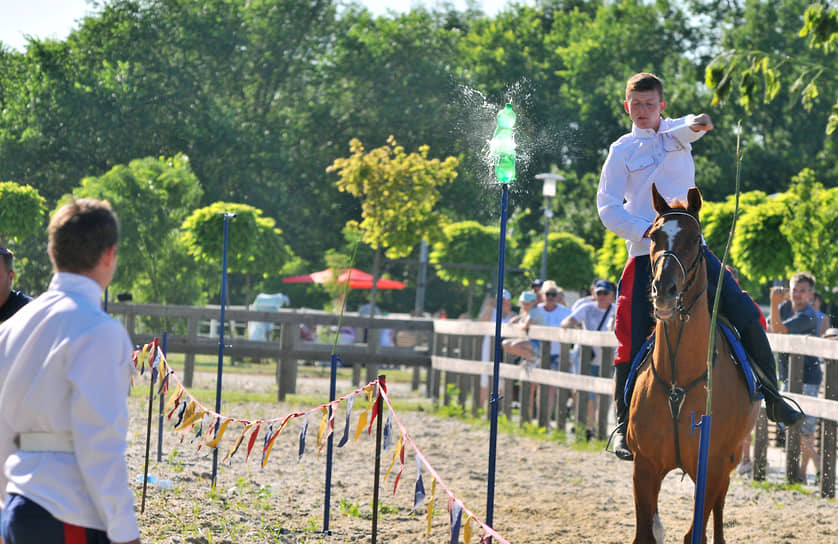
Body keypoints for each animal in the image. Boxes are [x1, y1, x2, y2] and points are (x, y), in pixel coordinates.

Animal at [632, 185, 756, 540]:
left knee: (719, 509)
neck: (679, 380)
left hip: (727, 465)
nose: (664, 289)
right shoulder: (644, 467)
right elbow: (644, 534)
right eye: (654, 236)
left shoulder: (711, 467)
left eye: (694, 240)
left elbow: (694, 533)